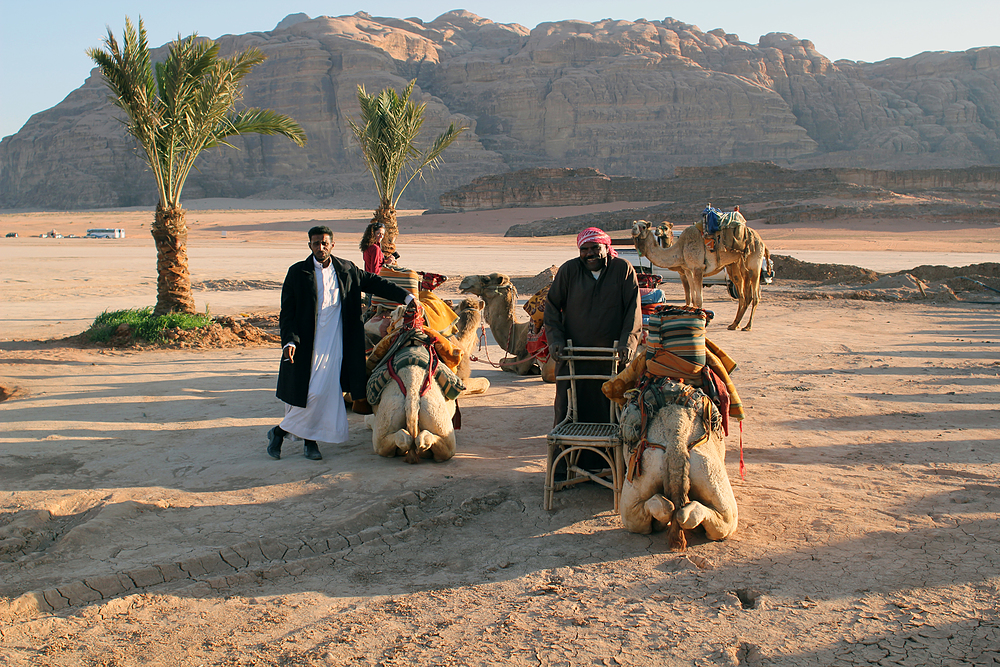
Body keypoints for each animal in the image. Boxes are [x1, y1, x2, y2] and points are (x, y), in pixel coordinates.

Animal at [636, 222, 768, 332]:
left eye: (665, 227)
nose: (657, 231)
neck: (680, 249)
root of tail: (762, 242)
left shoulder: (697, 269)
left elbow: (697, 298)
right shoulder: (688, 270)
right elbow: (692, 298)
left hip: (754, 262)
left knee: (754, 295)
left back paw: (747, 326)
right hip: (736, 264)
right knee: (744, 295)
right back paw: (734, 324)